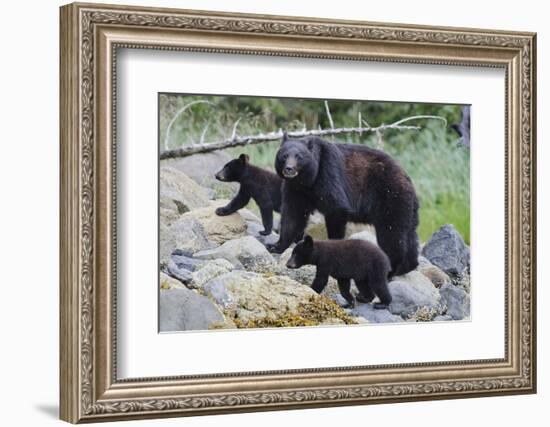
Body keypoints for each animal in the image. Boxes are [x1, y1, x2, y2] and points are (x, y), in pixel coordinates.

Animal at [270, 135, 420, 280]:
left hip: (391, 199)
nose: (289, 168)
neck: (308, 181)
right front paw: (276, 246)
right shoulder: (295, 189)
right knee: (409, 236)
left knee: (392, 234)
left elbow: (336, 209)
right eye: (284, 155)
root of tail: (409, 181)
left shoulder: (328, 174)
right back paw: (407, 267)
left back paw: (390, 271)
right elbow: (292, 215)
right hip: (407, 210)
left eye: (299, 156)